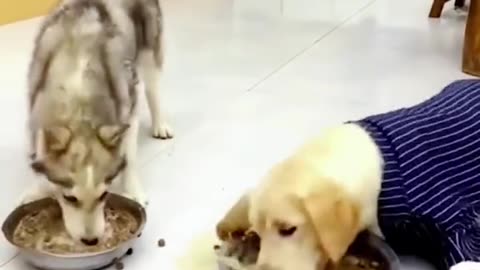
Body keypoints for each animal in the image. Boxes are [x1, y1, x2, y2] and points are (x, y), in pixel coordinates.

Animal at [23, 0, 172, 245]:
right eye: (69, 198)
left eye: (104, 195)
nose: (91, 241)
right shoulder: (36, 106)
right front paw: (35, 191)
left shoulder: (128, 103)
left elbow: (129, 156)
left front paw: (133, 190)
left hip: (149, 50)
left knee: (153, 89)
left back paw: (161, 124)